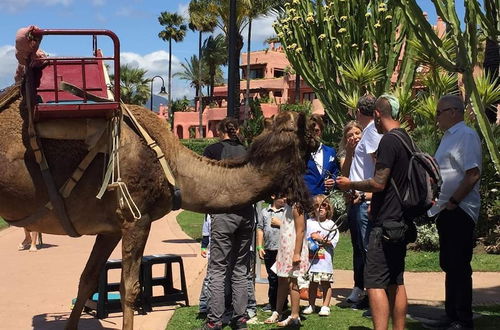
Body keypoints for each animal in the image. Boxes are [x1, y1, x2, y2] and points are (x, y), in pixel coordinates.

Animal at [0, 87, 316, 330]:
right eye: (310, 139)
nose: (311, 197)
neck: (173, 169)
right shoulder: (137, 219)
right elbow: (129, 289)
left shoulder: (111, 228)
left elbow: (87, 280)